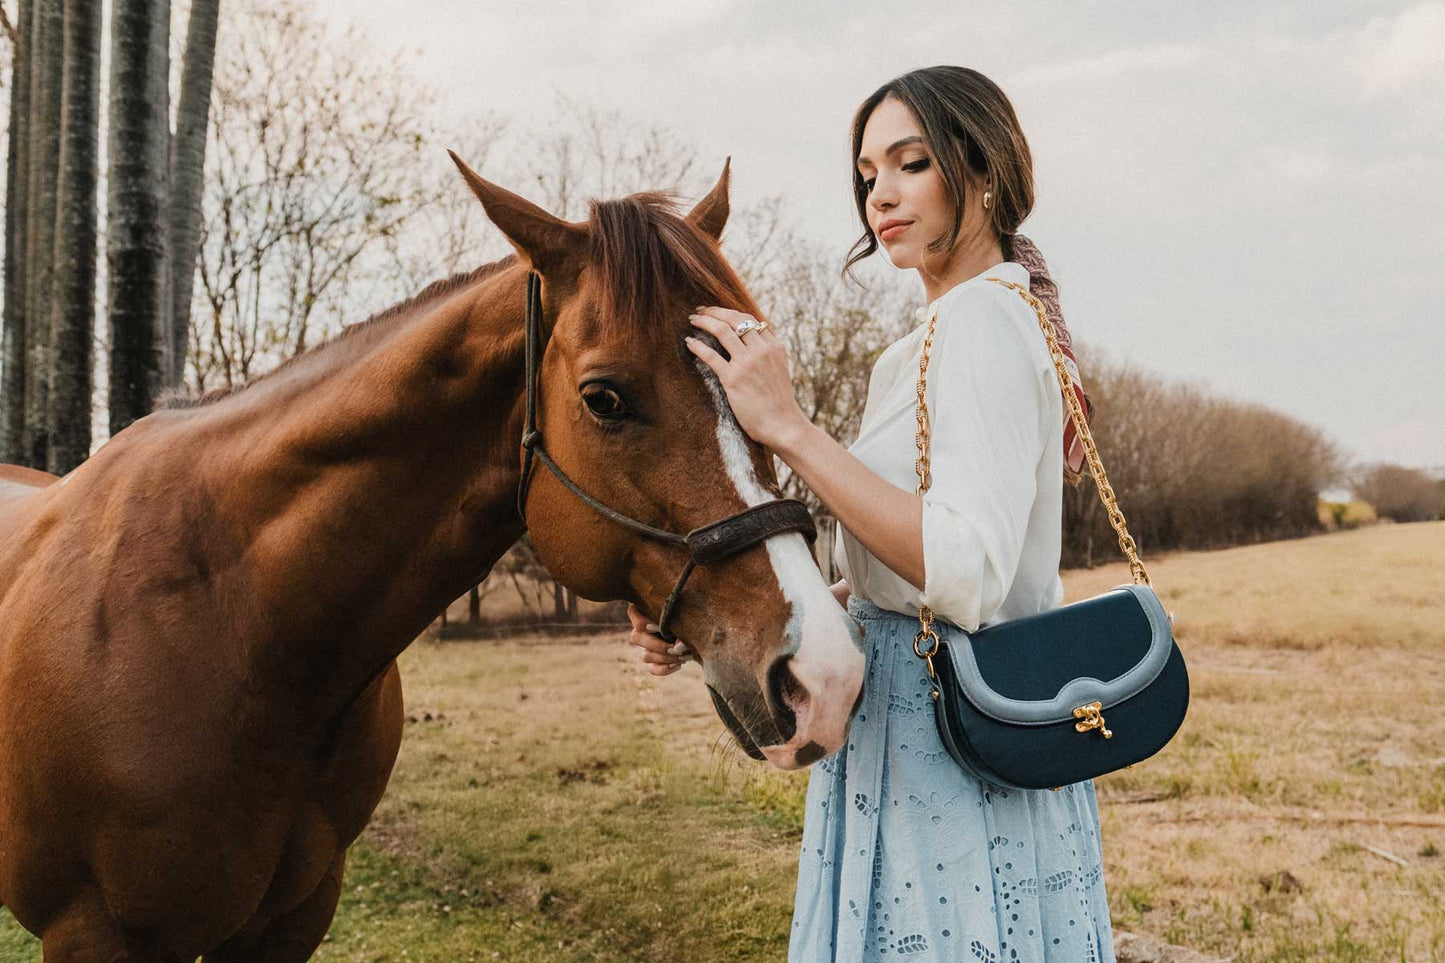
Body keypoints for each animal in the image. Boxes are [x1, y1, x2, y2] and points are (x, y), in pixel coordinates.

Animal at [0, 155, 855, 954]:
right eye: (604, 397)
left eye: (763, 381)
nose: (826, 675)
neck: (225, 622)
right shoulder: (92, 932)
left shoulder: (295, 915)